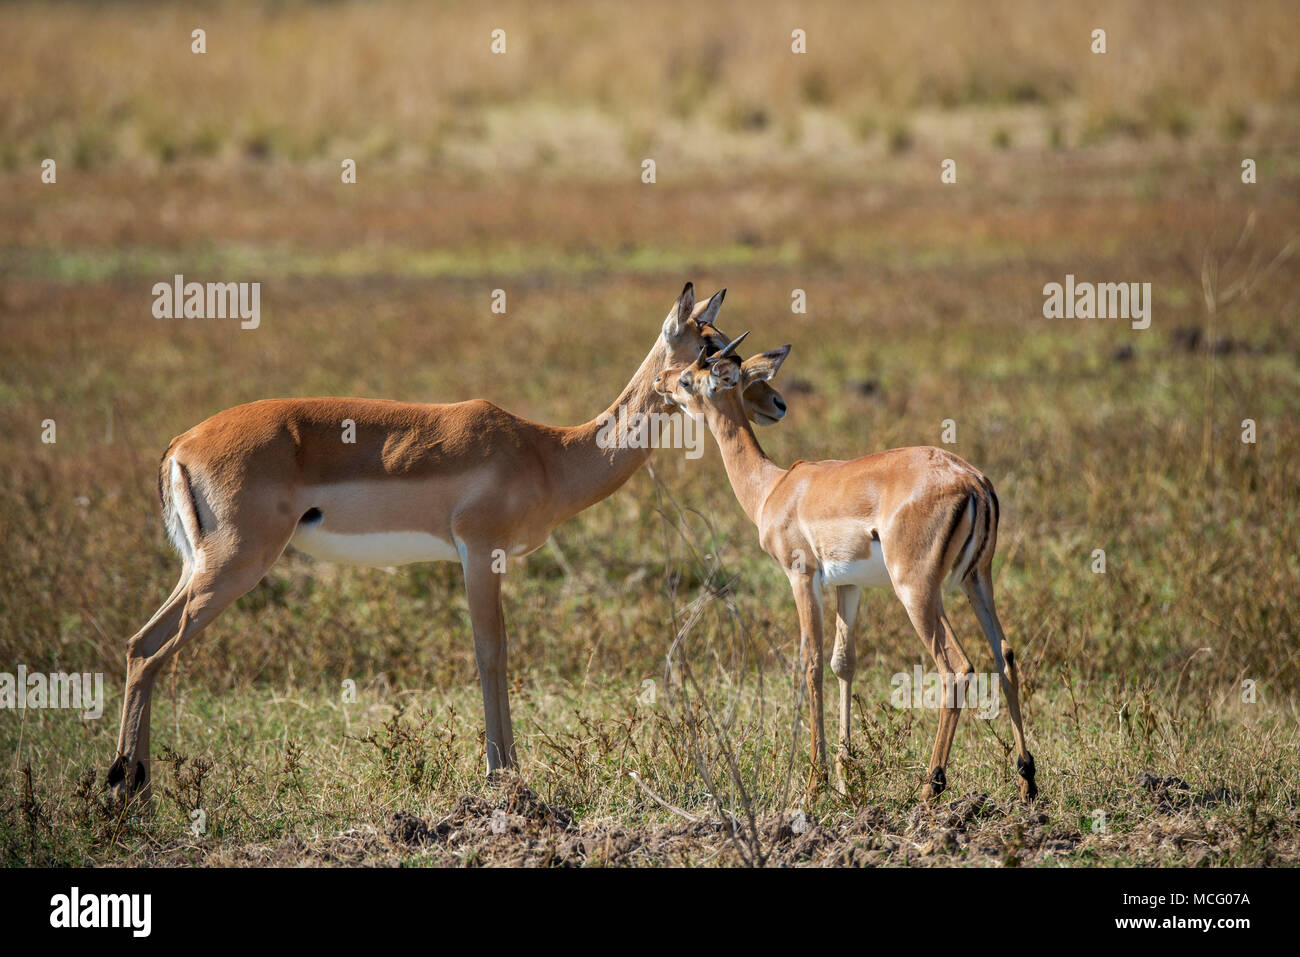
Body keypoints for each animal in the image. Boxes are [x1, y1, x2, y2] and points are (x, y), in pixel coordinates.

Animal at [106, 283, 789, 803]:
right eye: (709, 351)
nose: (777, 401)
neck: (547, 453)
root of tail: (181, 445)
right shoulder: (479, 553)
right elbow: (492, 652)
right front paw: (504, 775)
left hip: (200, 567)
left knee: (142, 644)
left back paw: (134, 787)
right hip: (233, 564)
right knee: (151, 648)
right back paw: (125, 788)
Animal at [652, 334, 1036, 801]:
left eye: (688, 379)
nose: (660, 380)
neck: (775, 488)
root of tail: (974, 481)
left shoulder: (801, 577)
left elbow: (811, 662)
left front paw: (813, 784)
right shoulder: (849, 585)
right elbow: (844, 663)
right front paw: (843, 777)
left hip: (917, 591)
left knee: (957, 668)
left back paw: (931, 788)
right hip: (977, 581)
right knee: (1006, 655)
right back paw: (1027, 782)